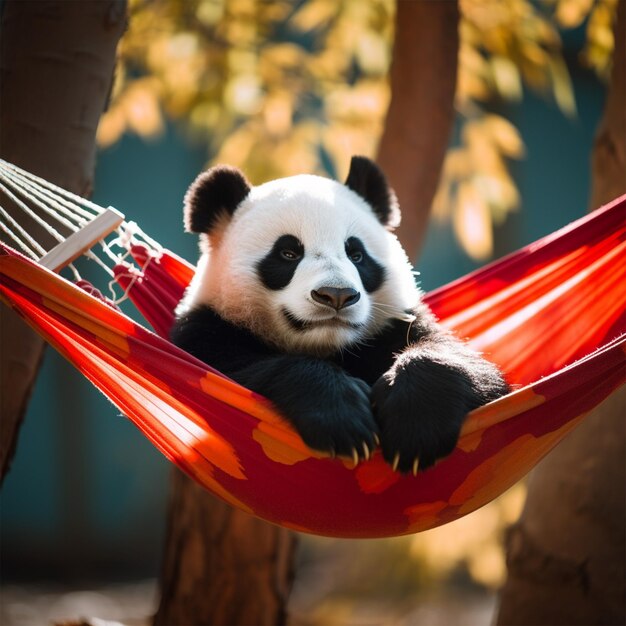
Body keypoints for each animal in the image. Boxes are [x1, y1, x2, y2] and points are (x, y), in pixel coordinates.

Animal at [172, 156, 508, 472]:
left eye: (356, 254)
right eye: (288, 253)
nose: (336, 295)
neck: (329, 346)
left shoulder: (394, 328)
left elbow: (467, 366)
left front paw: (417, 428)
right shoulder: (207, 336)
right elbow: (239, 370)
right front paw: (344, 421)